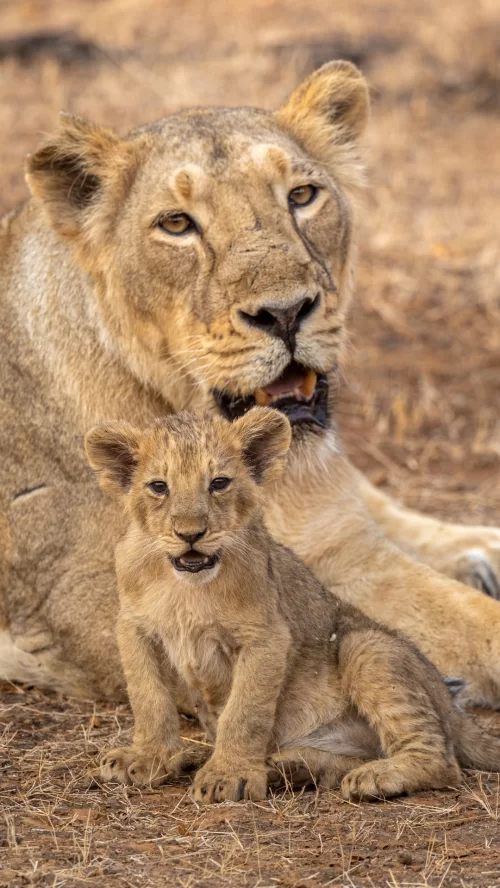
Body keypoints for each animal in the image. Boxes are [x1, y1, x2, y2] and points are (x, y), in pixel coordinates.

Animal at [85, 408, 500, 802]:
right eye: (159, 487)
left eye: (219, 483)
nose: (190, 535)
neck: (186, 586)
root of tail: (449, 701)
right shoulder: (134, 629)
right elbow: (148, 699)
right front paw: (148, 758)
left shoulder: (266, 636)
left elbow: (245, 711)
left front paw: (229, 776)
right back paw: (292, 768)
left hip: (366, 648)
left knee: (442, 762)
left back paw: (373, 777)